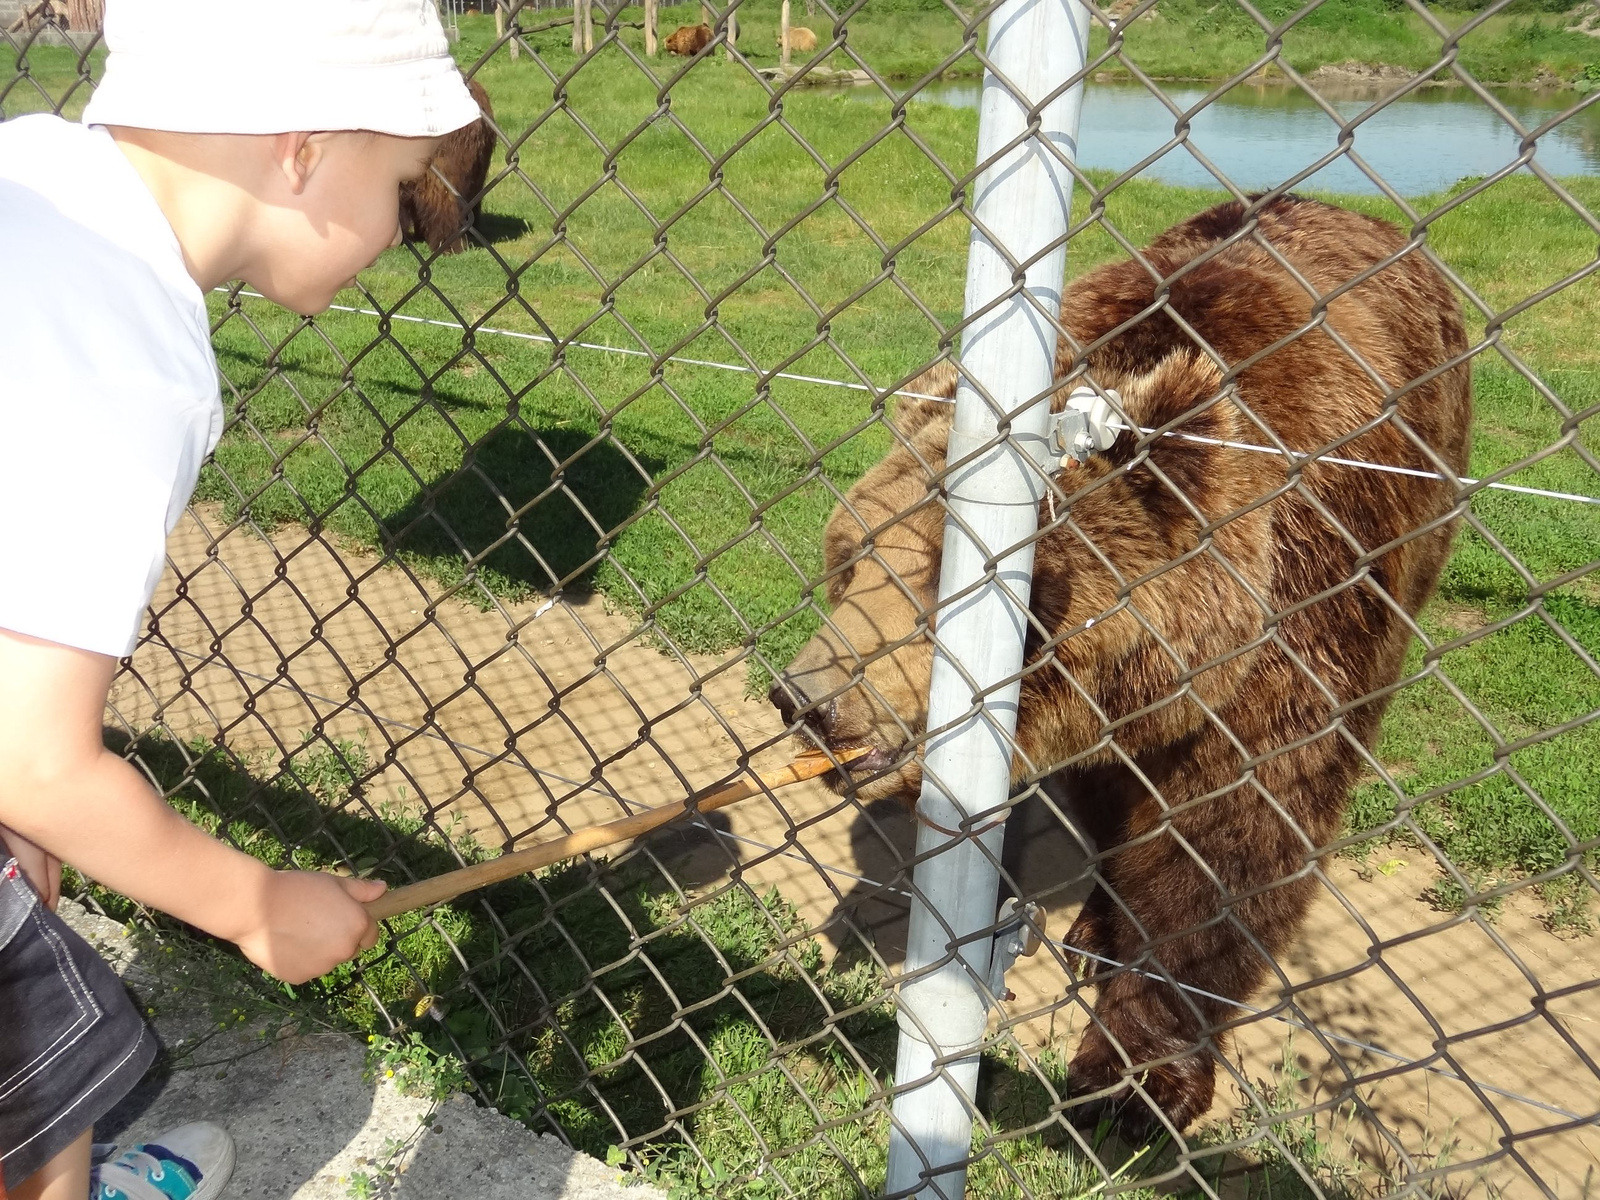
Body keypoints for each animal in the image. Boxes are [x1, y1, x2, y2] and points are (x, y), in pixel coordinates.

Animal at [768, 197, 1465, 1139]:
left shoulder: (1301, 617)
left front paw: (1133, 1081)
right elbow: (1115, 804)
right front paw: (1106, 932)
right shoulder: (1113, 711)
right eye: (851, 558)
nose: (808, 698)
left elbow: (1227, 844)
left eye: (948, 578)